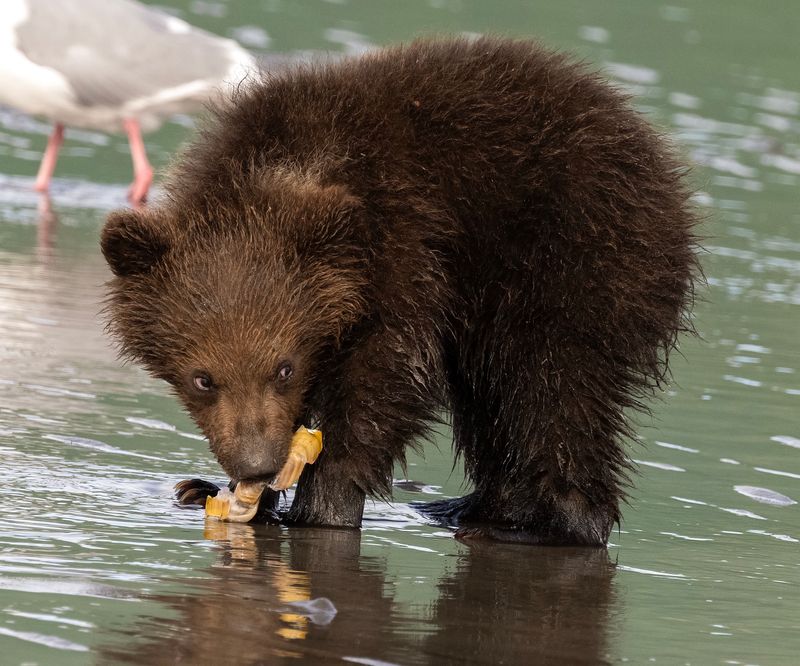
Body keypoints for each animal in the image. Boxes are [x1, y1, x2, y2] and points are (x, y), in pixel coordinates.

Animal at [101, 36, 700, 546]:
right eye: (202, 378)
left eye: (284, 368)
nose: (257, 465)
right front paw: (218, 490)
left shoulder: (405, 242)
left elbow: (389, 376)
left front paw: (321, 504)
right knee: (490, 402)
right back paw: (470, 506)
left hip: (571, 261)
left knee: (550, 388)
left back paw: (548, 524)